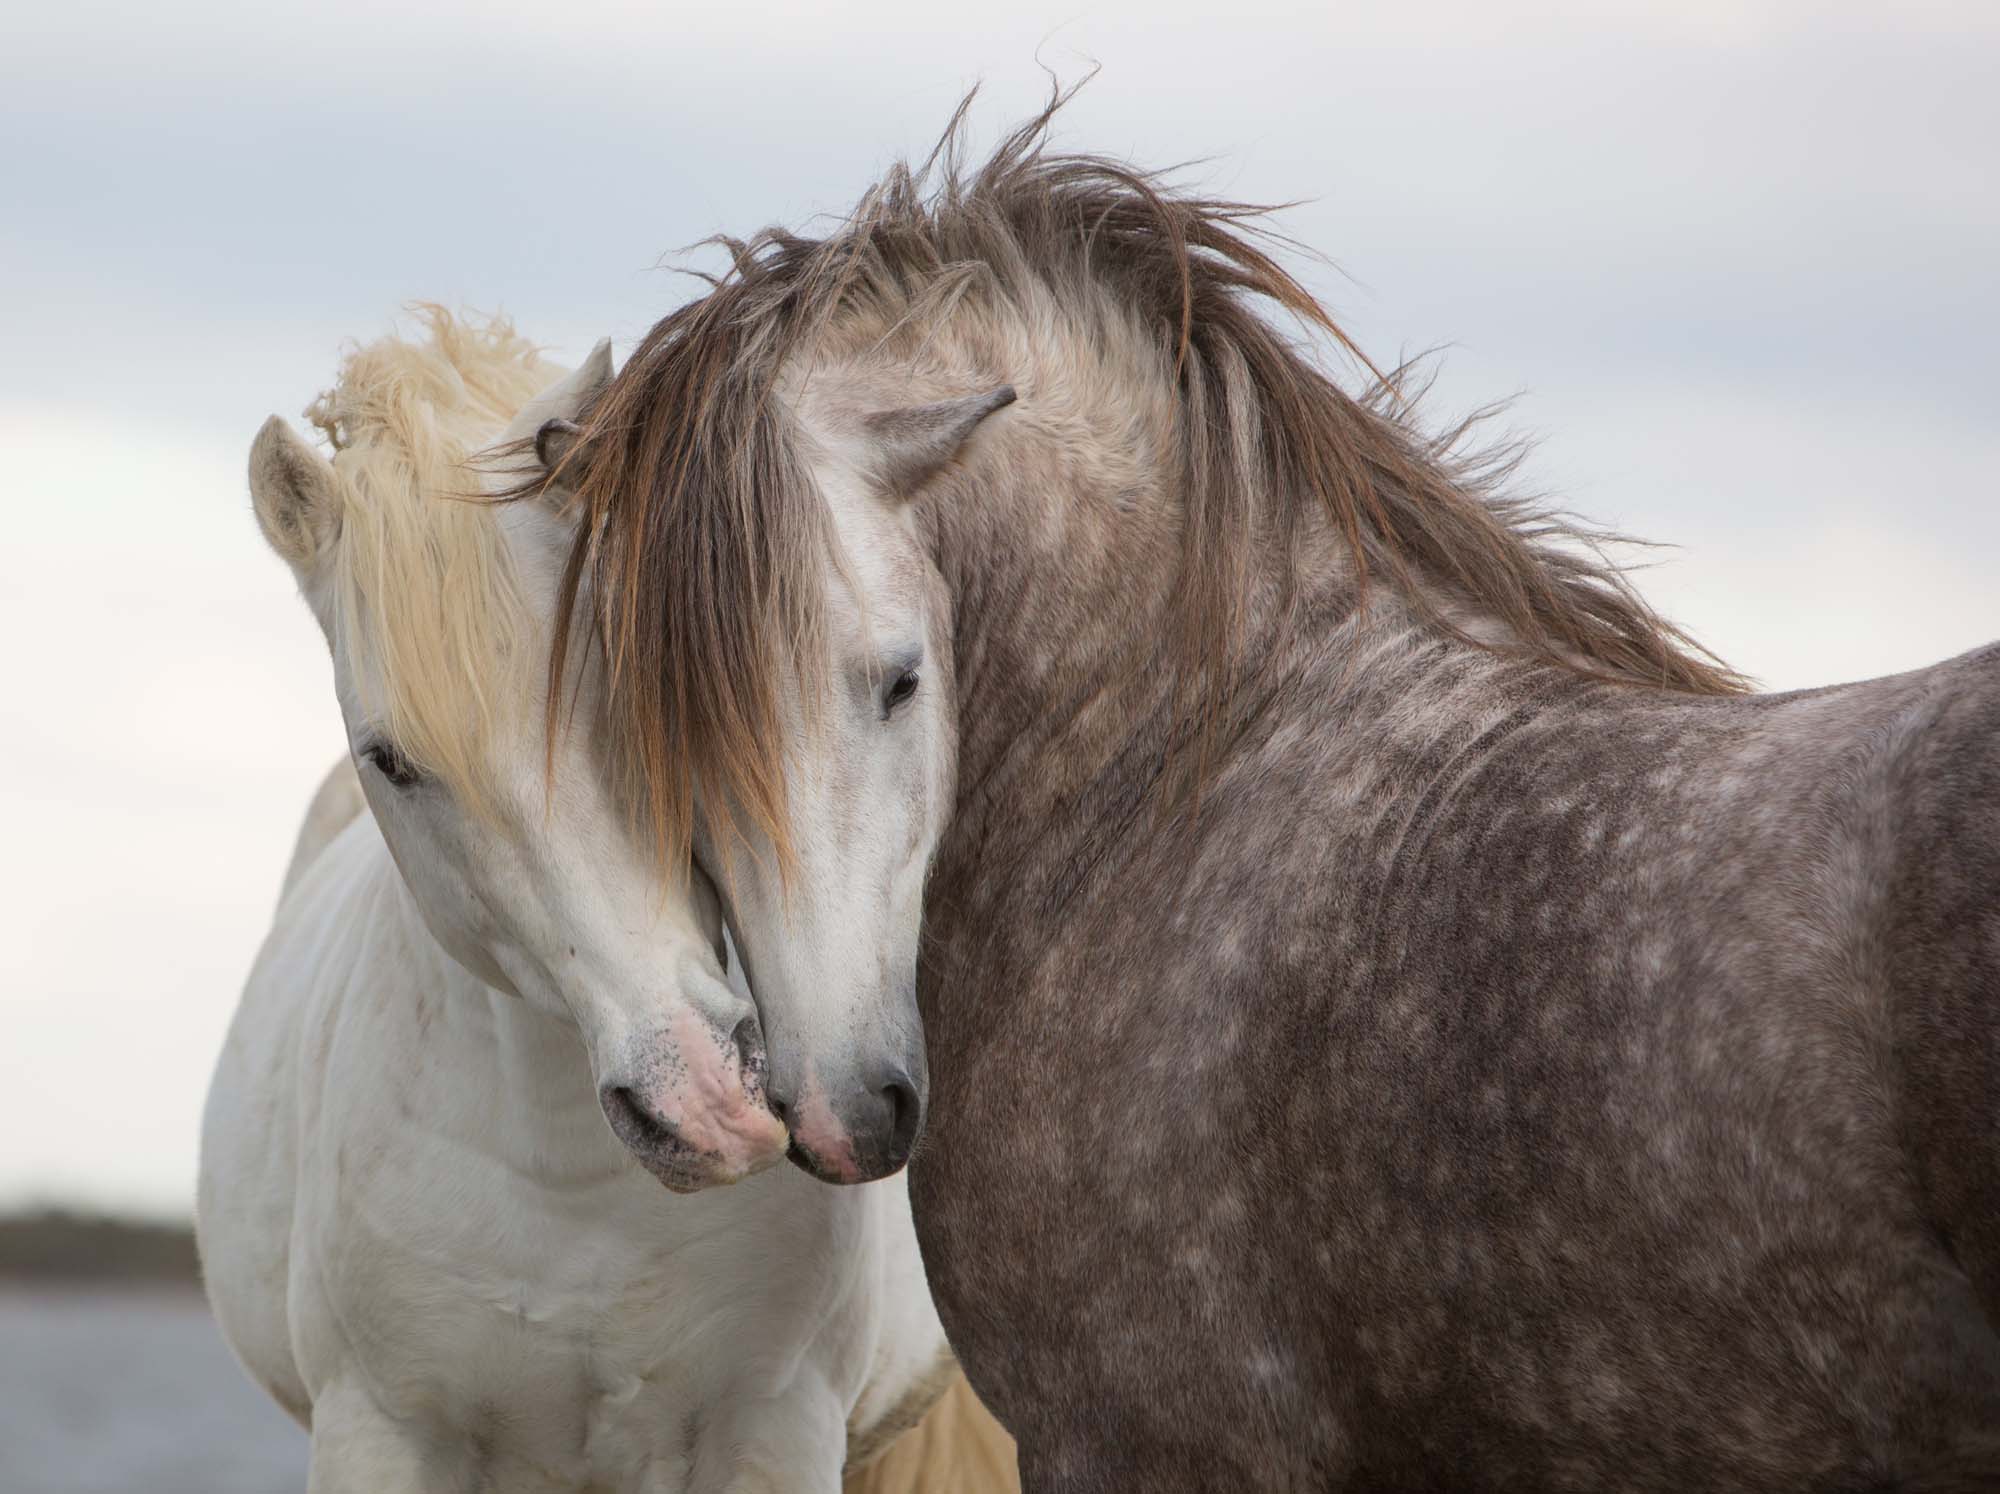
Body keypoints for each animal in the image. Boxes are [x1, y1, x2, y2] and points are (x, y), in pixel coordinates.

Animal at [195, 310, 1008, 1488]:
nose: (700, 1098)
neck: (577, 1194)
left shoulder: (777, 1427)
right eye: (389, 759)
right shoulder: (377, 1430)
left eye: (631, 670)